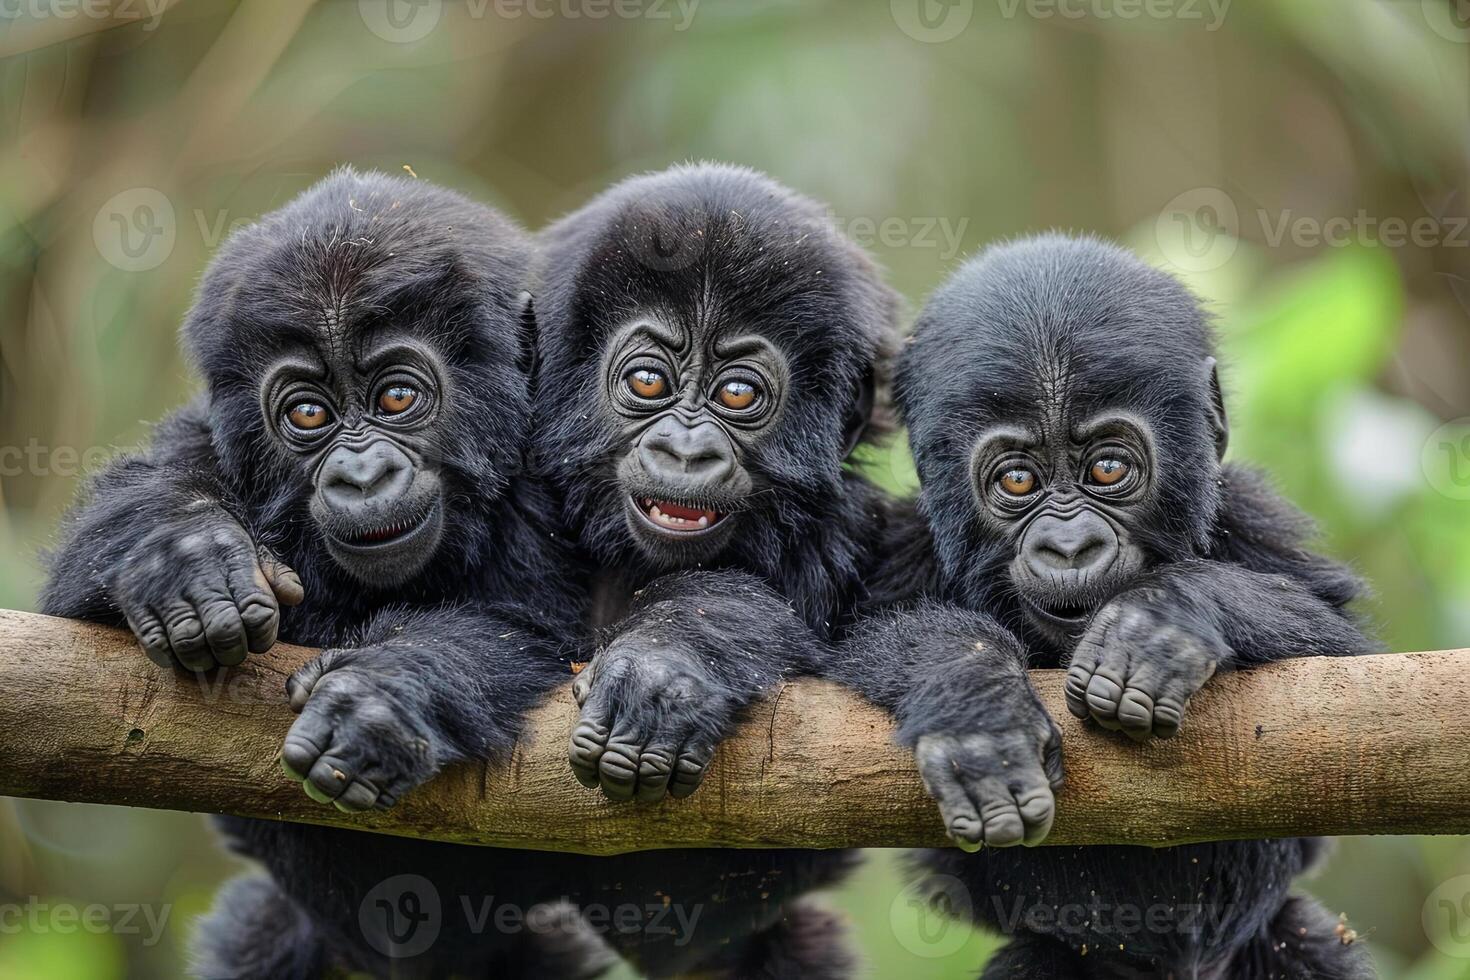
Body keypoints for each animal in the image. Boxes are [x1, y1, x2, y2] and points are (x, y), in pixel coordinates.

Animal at [44, 172, 590, 975]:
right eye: (308, 414)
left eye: (397, 397)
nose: (361, 476)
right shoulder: (207, 440)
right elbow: (67, 647)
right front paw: (184, 555)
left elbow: (544, 637)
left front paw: (385, 695)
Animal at [846, 238, 1381, 980]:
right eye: (1018, 480)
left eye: (1107, 469)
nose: (1070, 546)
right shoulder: (904, 548)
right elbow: (853, 645)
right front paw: (977, 706)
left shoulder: (1251, 515)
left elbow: (1348, 687)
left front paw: (1161, 620)